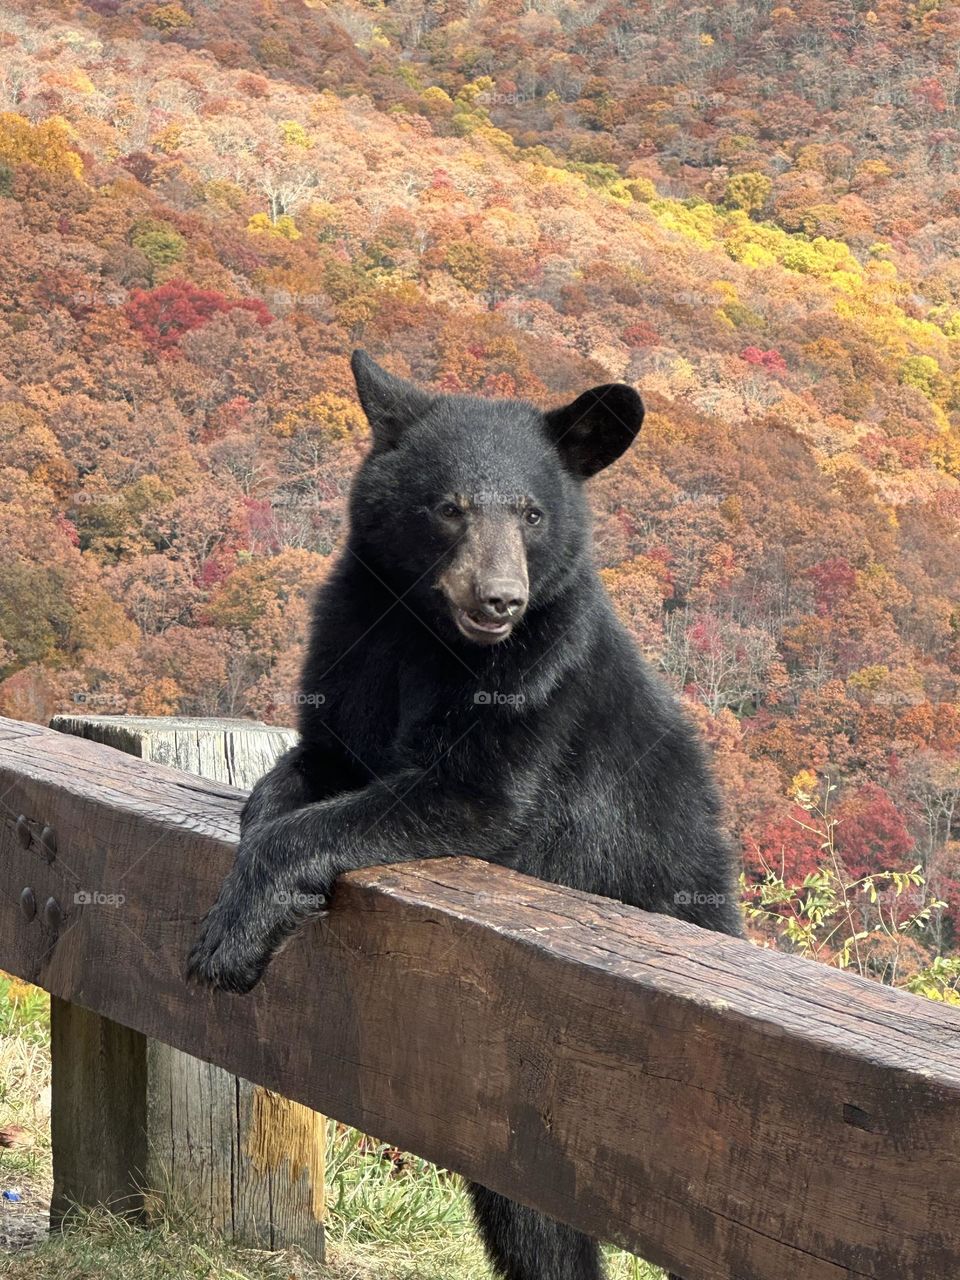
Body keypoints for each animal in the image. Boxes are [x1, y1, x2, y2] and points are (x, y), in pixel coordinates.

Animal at [188, 350, 742, 1280]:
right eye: (449, 507)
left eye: (531, 513)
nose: (500, 601)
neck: (430, 637)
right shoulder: (354, 647)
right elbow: (304, 771)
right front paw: (255, 863)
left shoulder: (536, 689)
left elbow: (462, 795)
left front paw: (231, 935)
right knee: (530, 1221)